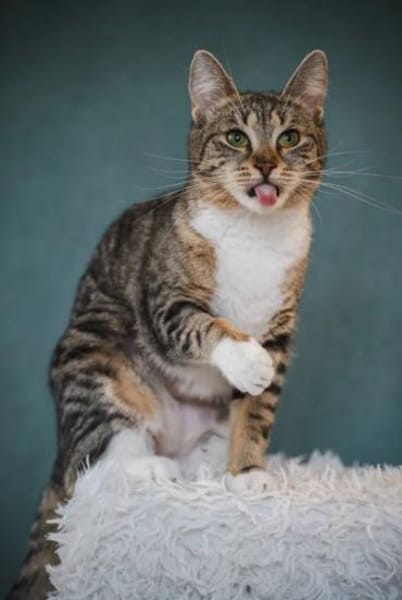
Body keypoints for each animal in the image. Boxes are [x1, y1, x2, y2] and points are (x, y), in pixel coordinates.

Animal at [8, 48, 327, 598]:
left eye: (289, 138)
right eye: (236, 137)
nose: (266, 164)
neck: (255, 237)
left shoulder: (281, 327)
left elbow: (258, 411)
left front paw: (247, 472)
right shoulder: (164, 298)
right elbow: (201, 325)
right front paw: (248, 361)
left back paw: (206, 464)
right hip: (92, 353)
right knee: (91, 468)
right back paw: (151, 467)